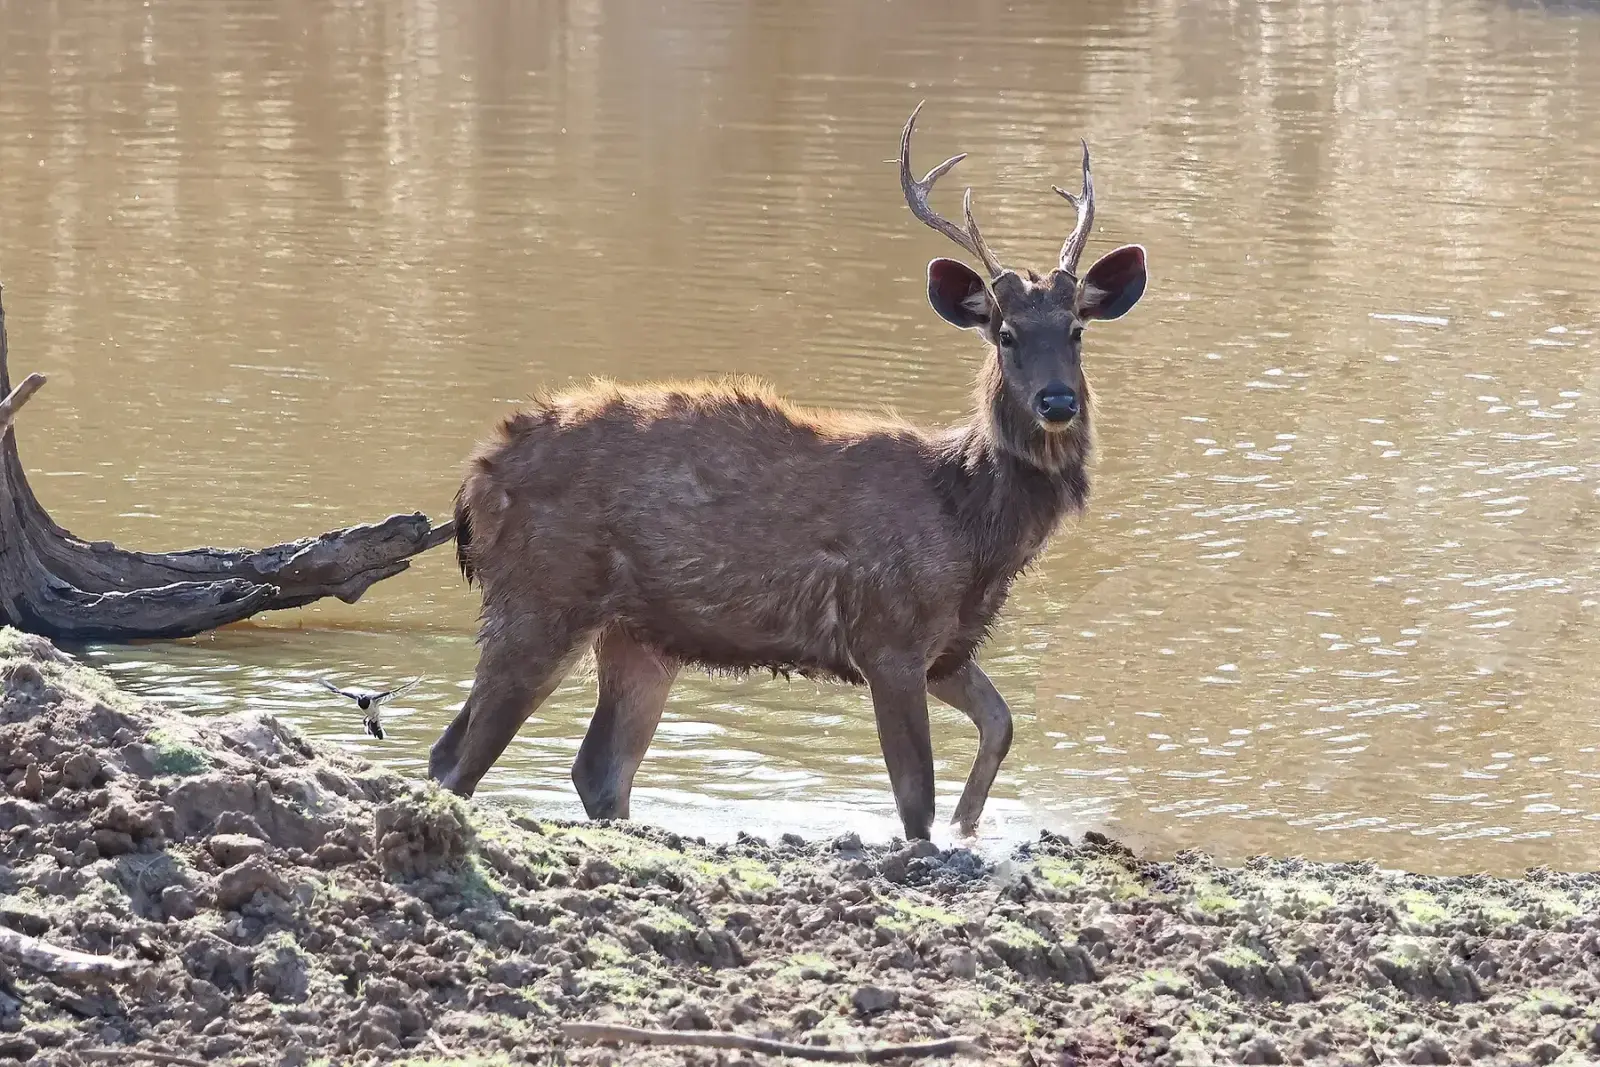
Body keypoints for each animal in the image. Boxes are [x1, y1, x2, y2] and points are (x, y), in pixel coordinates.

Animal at [428, 102, 1148, 841]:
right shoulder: (887, 633)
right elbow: (914, 796)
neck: (972, 524)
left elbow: (1001, 724)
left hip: (640, 634)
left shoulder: (947, 645)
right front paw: (938, 839)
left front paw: (969, 824)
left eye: (1076, 330)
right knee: (458, 756)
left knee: (594, 767)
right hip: (541, 593)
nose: (1057, 402)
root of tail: (475, 481)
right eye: (1006, 334)